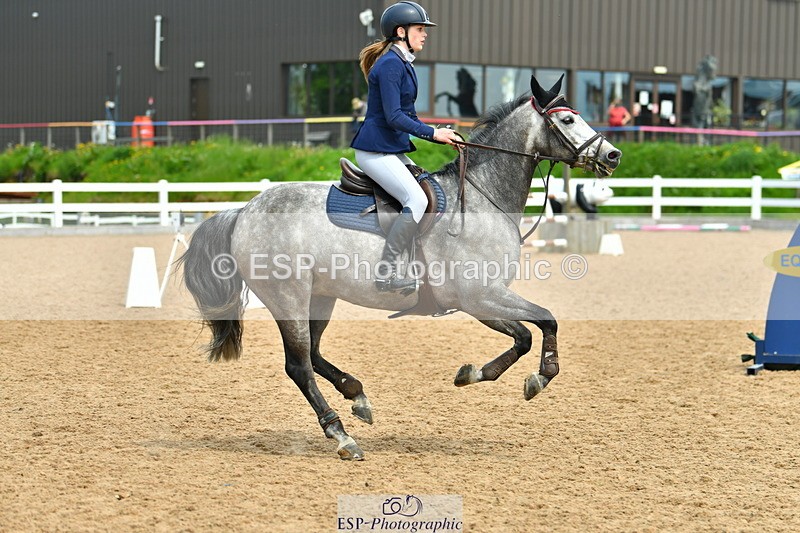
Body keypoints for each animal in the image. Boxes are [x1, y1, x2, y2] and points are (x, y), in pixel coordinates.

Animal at [179, 74, 622, 460]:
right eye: (568, 120)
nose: (612, 155)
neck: (483, 198)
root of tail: (243, 211)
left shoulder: (481, 300)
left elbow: (530, 332)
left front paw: (480, 374)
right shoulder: (480, 297)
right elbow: (541, 324)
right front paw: (535, 377)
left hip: (320, 297)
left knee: (315, 355)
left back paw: (357, 396)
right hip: (288, 297)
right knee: (299, 365)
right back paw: (341, 435)